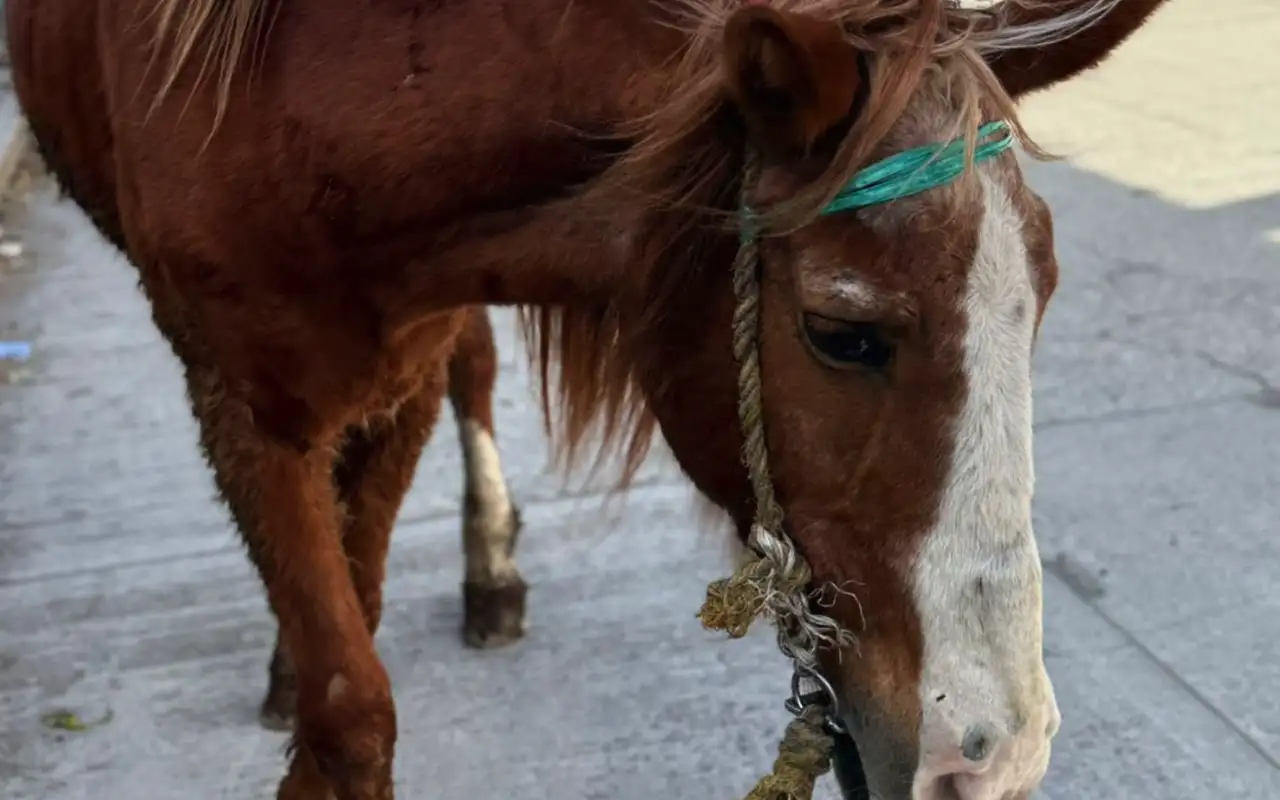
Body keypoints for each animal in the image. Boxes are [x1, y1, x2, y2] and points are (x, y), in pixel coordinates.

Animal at [7, 0, 1172, 793]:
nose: (991, 755)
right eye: (844, 334)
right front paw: (309, 679)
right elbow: (348, 706)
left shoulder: (403, 369)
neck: (293, 105)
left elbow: (363, 592)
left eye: (1041, 300)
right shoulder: (242, 409)